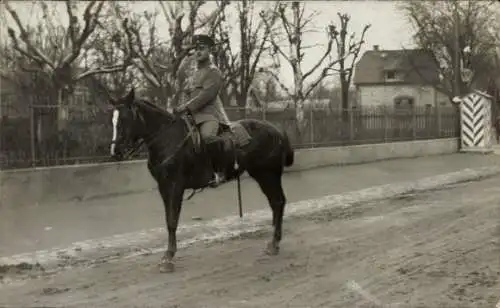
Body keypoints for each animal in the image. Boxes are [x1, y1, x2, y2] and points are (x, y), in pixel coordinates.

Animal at [108, 88, 292, 272]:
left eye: (124, 118)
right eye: (113, 120)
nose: (115, 151)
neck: (167, 138)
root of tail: (276, 130)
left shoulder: (175, 186)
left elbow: (172, 220)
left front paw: (169, 258)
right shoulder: (164, 187)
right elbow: (168, 220)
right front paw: (168, 255)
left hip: (268, 174)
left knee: (278, 202)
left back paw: (274, 243)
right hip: (262, 174)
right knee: (276, 203)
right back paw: (274, 241)